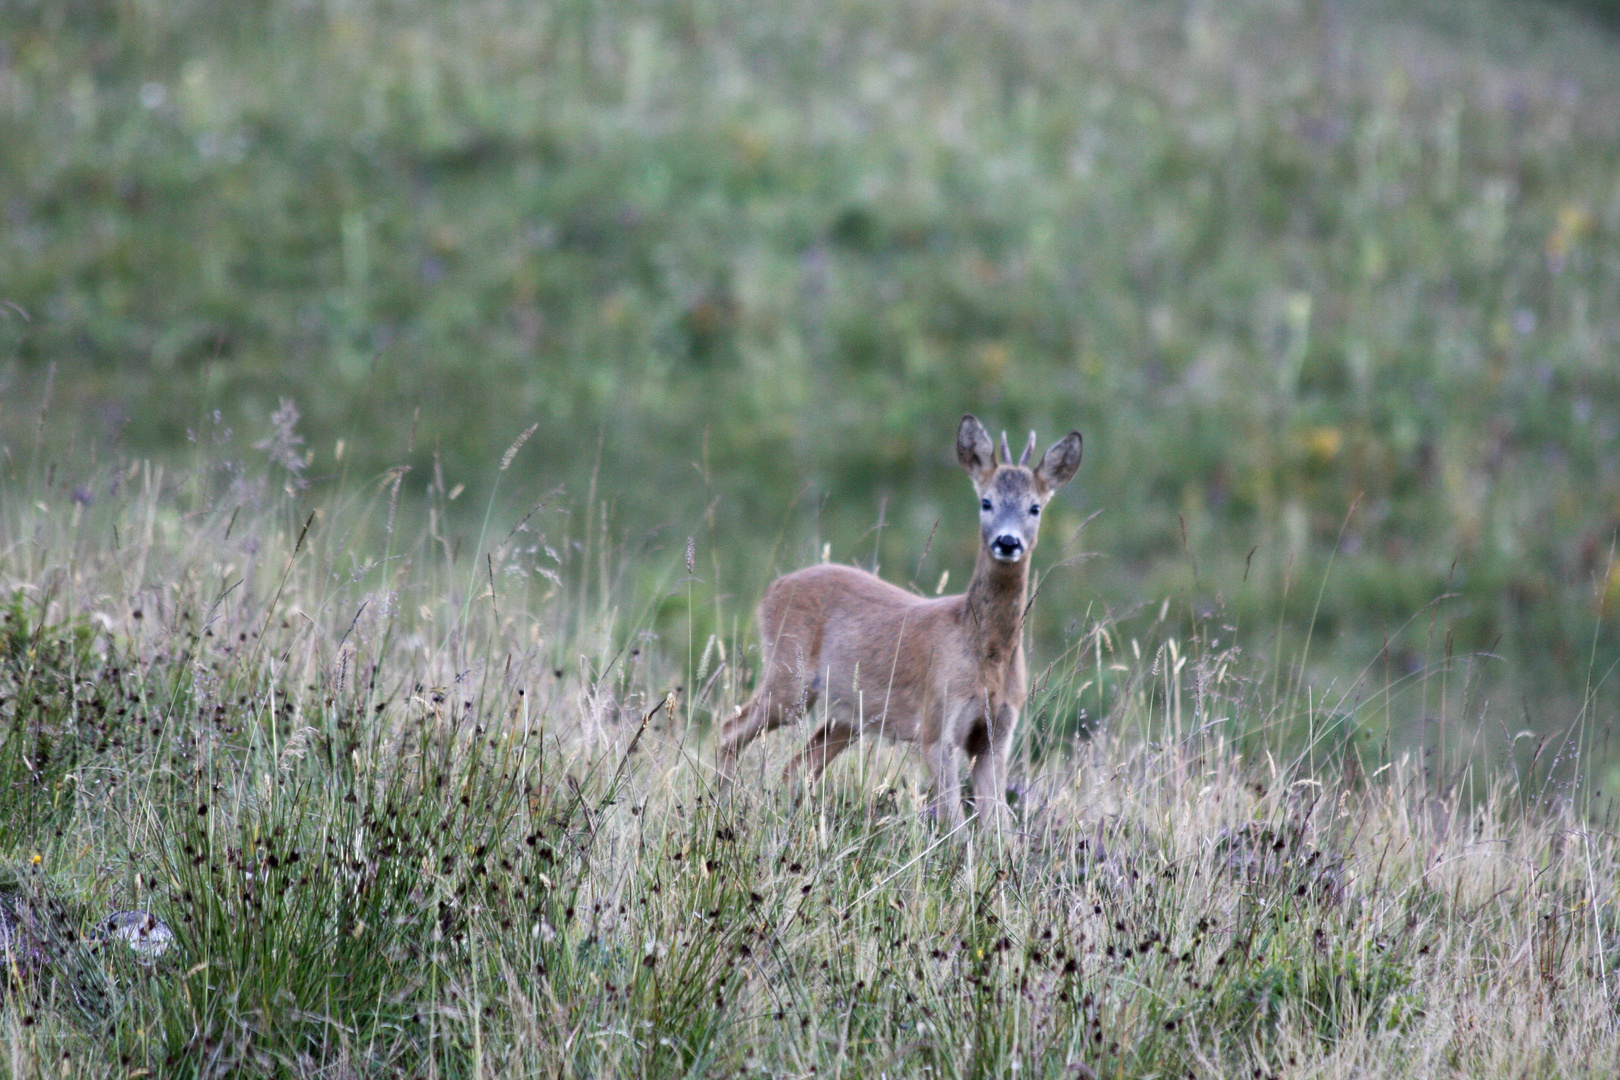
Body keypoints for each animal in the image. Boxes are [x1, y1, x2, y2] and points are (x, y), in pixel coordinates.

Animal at [716, 414, 1082, 829]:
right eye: (985, 501)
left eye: (1035, 507)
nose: (1007, 542)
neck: (985, 653)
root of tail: (772, 589)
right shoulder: (937, 723)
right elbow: (954, 822)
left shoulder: (997, 736)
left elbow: (995, 825)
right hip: (789, 679)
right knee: (730, 730)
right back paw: (718, 806)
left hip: (848, 715)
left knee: (798, 765)